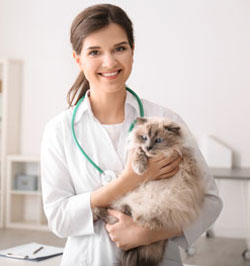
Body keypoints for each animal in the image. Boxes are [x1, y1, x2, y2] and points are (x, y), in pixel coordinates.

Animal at [93, 117, 204, 266]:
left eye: (158, 140)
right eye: (144, 138)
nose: (149, 147)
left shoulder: (185, 157)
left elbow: (185, 159)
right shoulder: (138, 149)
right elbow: (139, 152)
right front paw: (140, 168)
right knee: (109, 215)